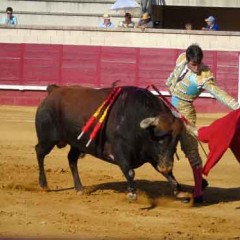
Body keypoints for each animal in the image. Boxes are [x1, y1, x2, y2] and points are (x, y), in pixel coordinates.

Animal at [35, 85, 186, 200]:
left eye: (176, 141)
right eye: (160, 139)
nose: (166, 166)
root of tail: (54, 90)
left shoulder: (152, 155)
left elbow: (168, 174)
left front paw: (178, 191)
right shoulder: (120, 152)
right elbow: (130, 171)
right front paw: (132, 193)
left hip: (77, 143)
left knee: (71, 159)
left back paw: (79, 188)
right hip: (47, 139)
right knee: (40, 152)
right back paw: (44, 185)